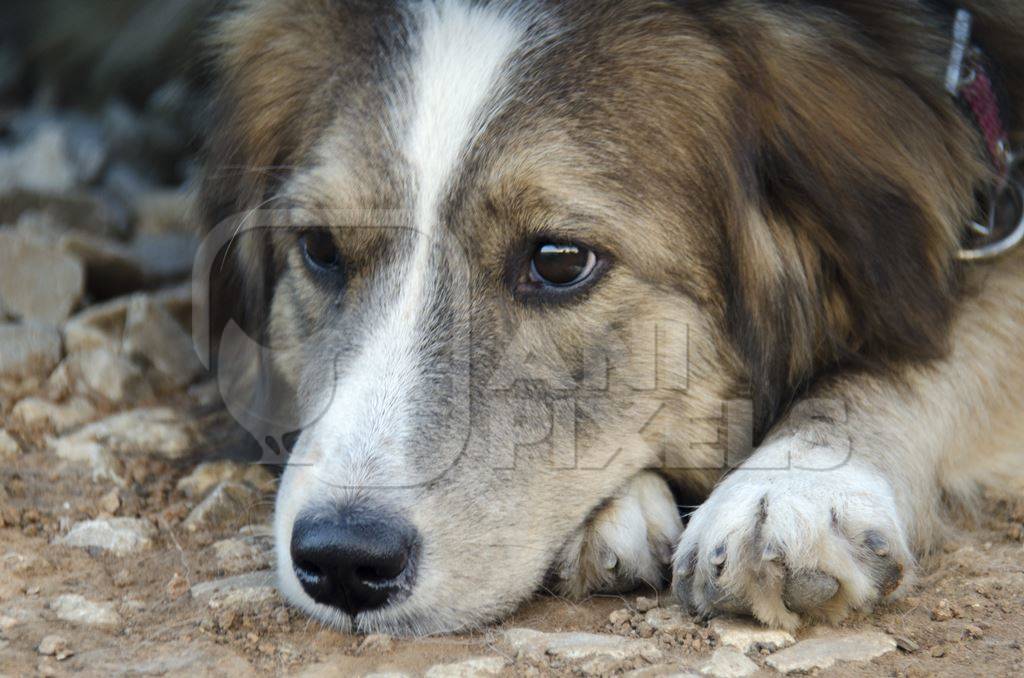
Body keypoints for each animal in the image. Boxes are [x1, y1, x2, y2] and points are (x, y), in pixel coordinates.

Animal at [197, 1, 1024, 639]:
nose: (342, 559)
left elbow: (927, 346)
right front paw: (619, 510)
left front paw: (797, 489)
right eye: (320, 248)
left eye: (561, 261)